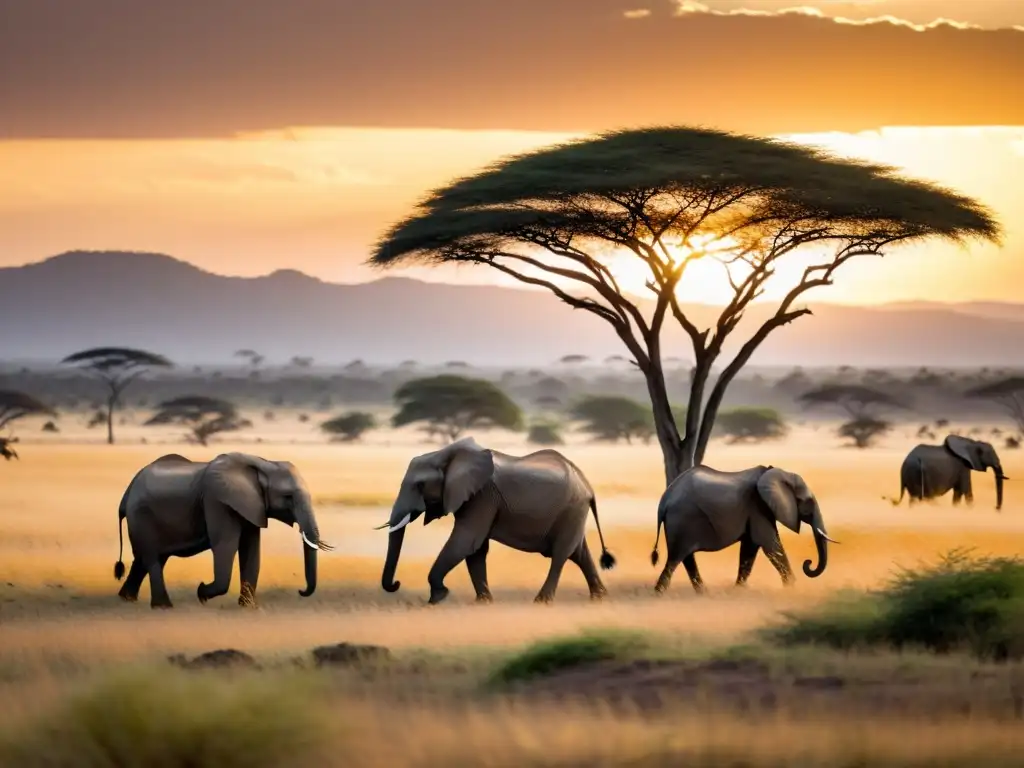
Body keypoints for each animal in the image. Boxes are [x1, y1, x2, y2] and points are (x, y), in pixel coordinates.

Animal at [115, 454, 331, 610]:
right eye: (288, 497)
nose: (300, 591)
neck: (264, 464)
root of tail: (127, 493)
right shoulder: (218, 502)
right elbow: (225, 546)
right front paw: (201, 592)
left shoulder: (252, 506)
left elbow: (251, 550)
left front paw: (247, 607)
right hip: (141, 517)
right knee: (151, 559)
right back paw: (163, 607)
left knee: (146, 560)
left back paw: (127, 599)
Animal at [376, 438, 614, 606]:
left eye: (420, 485)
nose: (396, 584)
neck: (446, 454)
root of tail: (587, 485)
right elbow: (476, 549)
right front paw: (483, 603)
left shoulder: (482, 496)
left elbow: (466, 541)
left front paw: (437, 598)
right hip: (572, 512)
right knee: (579, 553)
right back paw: (599, 599)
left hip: (572, 509)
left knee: (560, 555)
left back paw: (541, 602)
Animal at [651, 462, 835, 593]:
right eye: (808, 502)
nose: (808, 563)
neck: (774, 472)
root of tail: (664, 501)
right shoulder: (758, 506)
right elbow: (770, 544)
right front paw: (791, 588)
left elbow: (749, 549)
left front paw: (738, 590)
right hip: (682, 520)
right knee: (675, 559)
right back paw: (661, 594)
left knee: (685, 558)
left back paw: (702, 593)